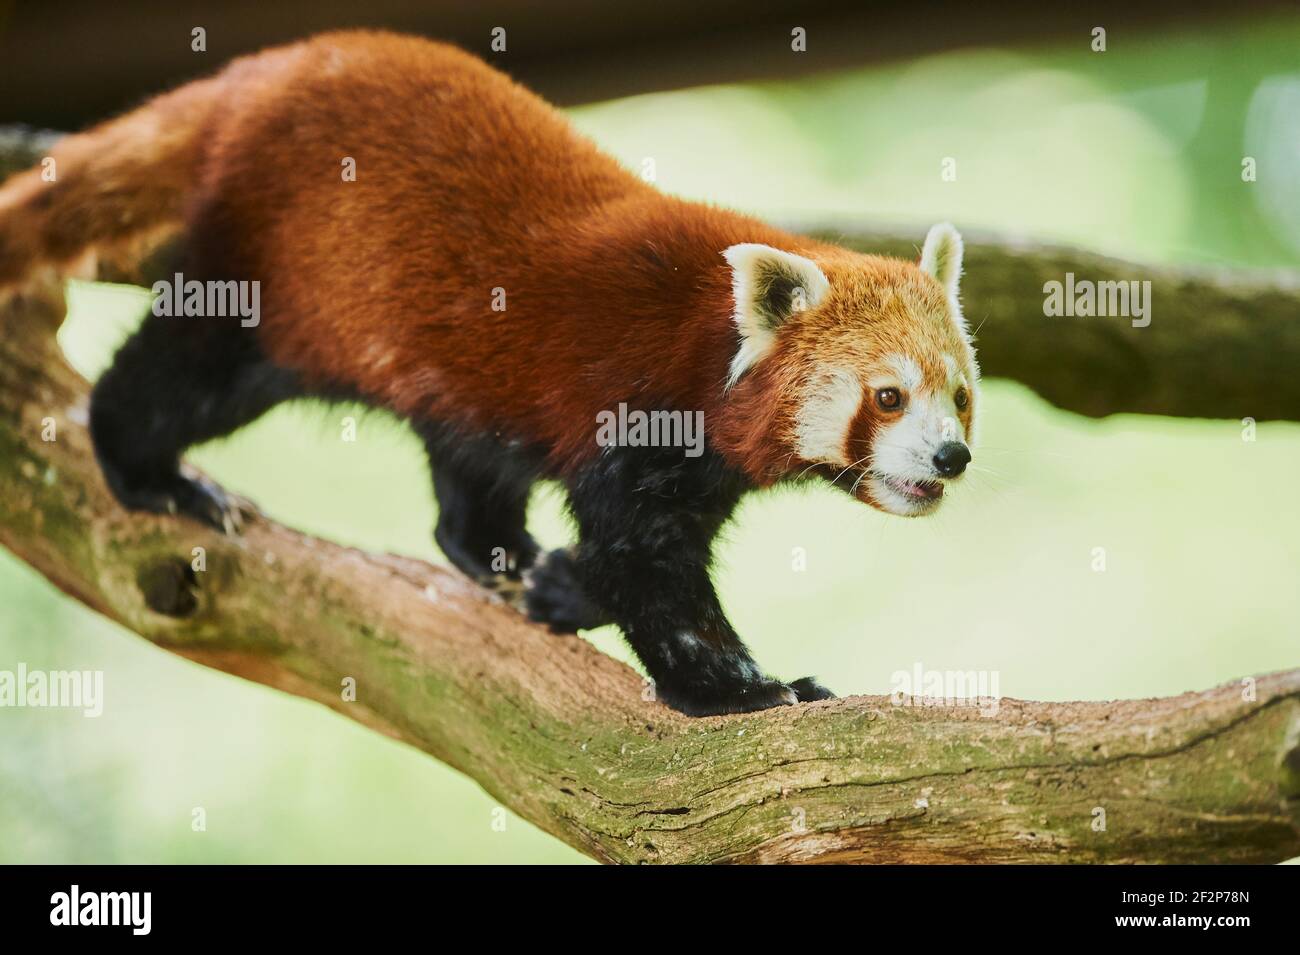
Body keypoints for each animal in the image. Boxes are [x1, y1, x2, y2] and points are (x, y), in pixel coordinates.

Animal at [0, 29, 977, 717]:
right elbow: (647, 569)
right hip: (271, 279)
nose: (951, 457)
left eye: (961, 396)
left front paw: (559, 586)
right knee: (182, 372)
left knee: (467, 461)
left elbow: (616, 558)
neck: (706, 346)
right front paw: (749, 687)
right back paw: (152, 473)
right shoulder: (633, 409)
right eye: (888, 397)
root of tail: (264, 71)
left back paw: (497, 554)